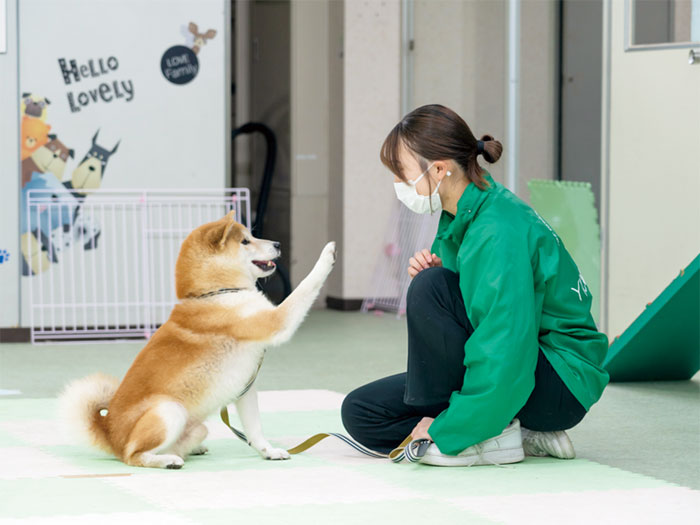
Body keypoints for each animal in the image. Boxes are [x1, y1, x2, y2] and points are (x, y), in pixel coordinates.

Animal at [57, 211, 336, 468]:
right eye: (246, 241)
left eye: (252, 236)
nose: (278, 244)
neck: (215, 293)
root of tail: (108, 432)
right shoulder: (277, 320)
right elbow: (305, 287)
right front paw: (326, 256)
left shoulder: (246, 387)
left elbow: (254, 429)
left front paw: (269, 452)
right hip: (169, 411)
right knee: (134, 456)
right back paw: (167, 460)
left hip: (198, 426)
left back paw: (190, 450)